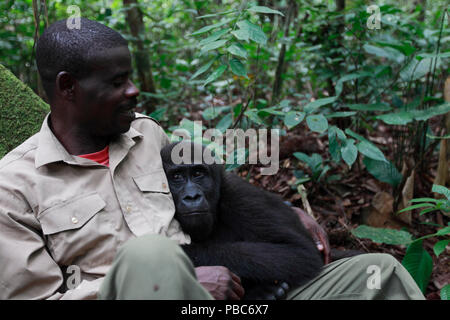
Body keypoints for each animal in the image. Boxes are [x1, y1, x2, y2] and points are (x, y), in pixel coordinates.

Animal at [162, 141, 324, 298]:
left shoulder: (239, 195)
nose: (192, 196)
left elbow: (300, 252)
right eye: (176, 177)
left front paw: (186, 251)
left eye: (198, 174)